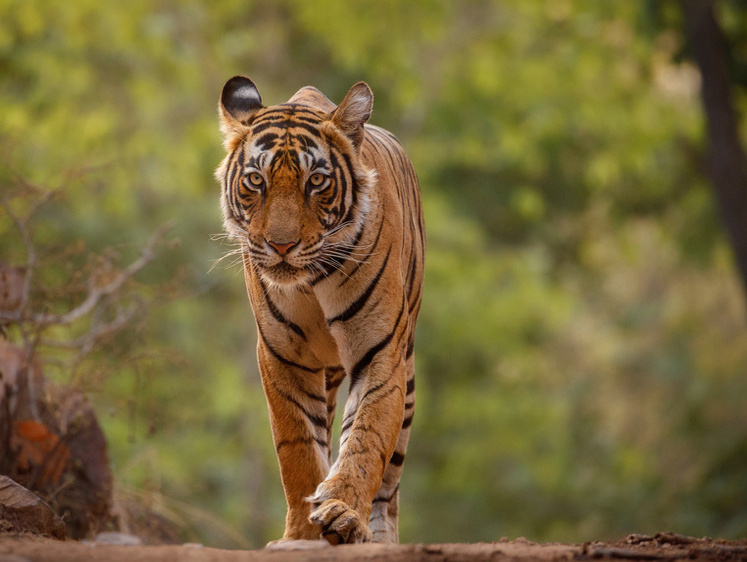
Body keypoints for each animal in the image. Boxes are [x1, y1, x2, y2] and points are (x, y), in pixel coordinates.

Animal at [216, 76, 426, 544]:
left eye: (316, 181)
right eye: (256, 180)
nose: (281, 246)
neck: (311, 282)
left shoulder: (380, 350)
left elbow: (367, 437)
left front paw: (343, 513)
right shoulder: (282, 356)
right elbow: (297, 449)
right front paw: (300, 534)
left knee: (390, 481)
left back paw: (378, 535)